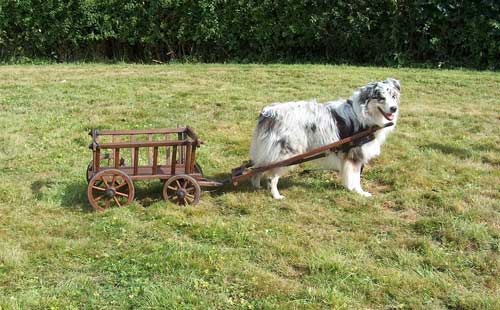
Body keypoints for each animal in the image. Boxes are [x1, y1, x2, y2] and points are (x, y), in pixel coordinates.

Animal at [250, 77, 402, 199]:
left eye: (393, 96)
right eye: (381, 98)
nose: (394, 108)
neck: (364, 114)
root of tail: (268, 112)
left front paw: (349, 188)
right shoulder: (355, 153)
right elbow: (356, 177)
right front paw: (360, 193)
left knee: (258, 167)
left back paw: (256, 186)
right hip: (285, 153)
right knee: (271, 176)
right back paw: (276, 195)